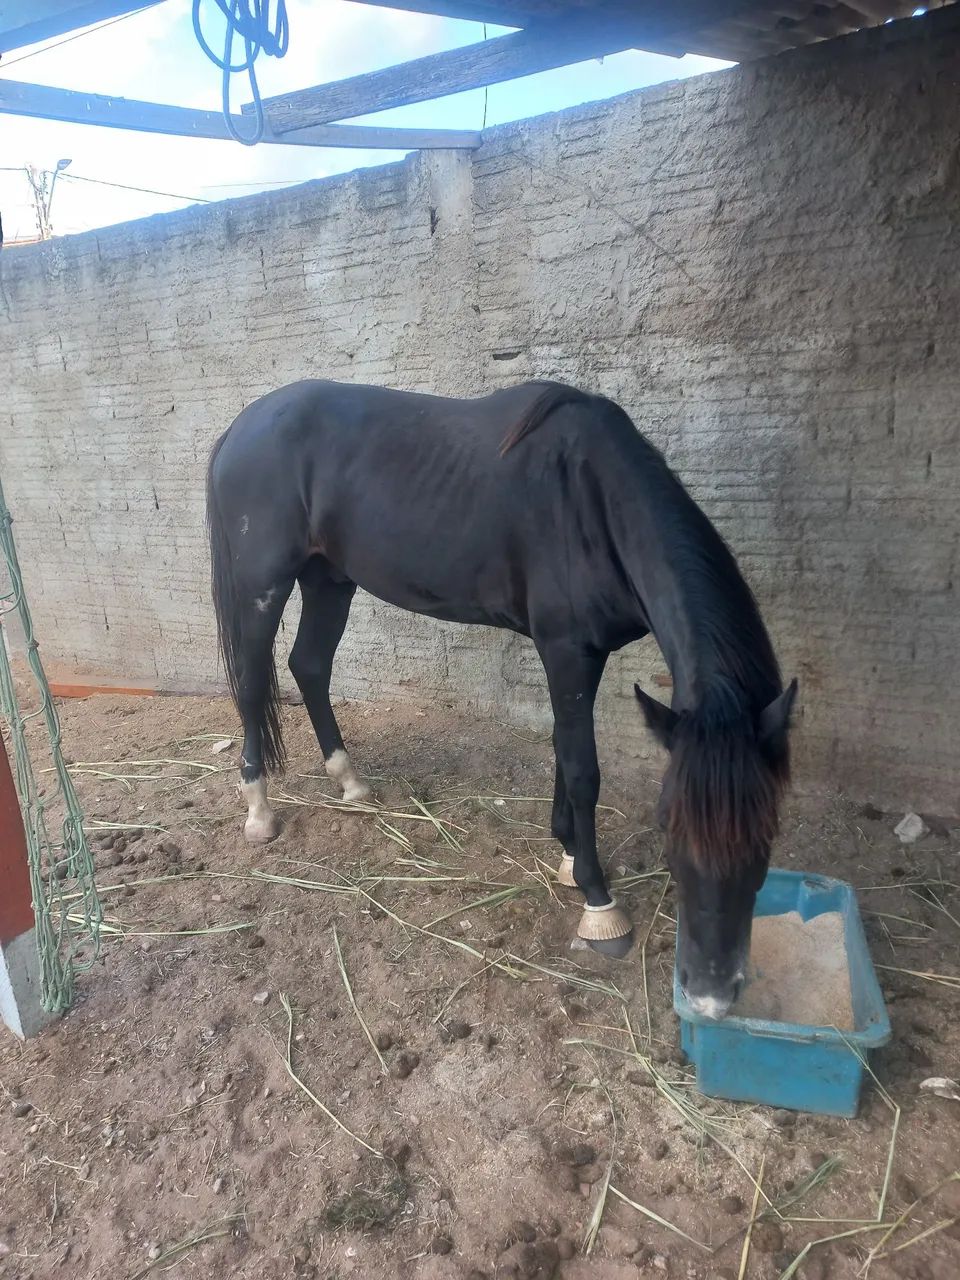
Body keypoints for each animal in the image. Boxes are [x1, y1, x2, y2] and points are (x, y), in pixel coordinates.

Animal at [206, 378, 797, 1018]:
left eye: (768, 830)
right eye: (669, 826)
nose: (711, 996)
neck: (590, 498)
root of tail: (240, 426)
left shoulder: (583, 653)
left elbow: (566, 748)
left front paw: (568, 855)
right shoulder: (566, 649)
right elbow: (583, 767)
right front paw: (599, 904)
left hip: (329, 577)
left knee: (310, 668)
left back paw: (350, 781)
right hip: (263, 585)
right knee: (253, 682)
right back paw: (259, 809)